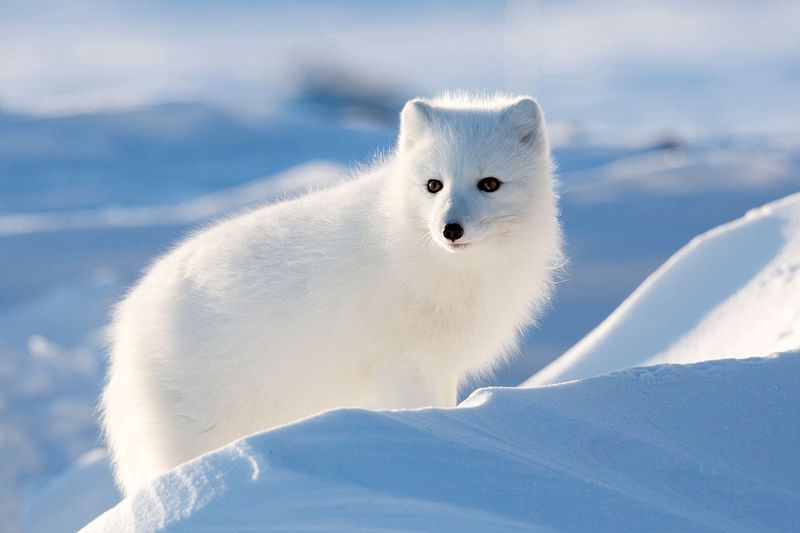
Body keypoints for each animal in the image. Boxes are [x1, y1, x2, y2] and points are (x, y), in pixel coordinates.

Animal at [101, 92, 564, 494]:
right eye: (434, 185)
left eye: (490, 184)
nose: (450, 229)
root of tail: (129, 319)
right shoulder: (404, 364)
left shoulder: (440, 363)